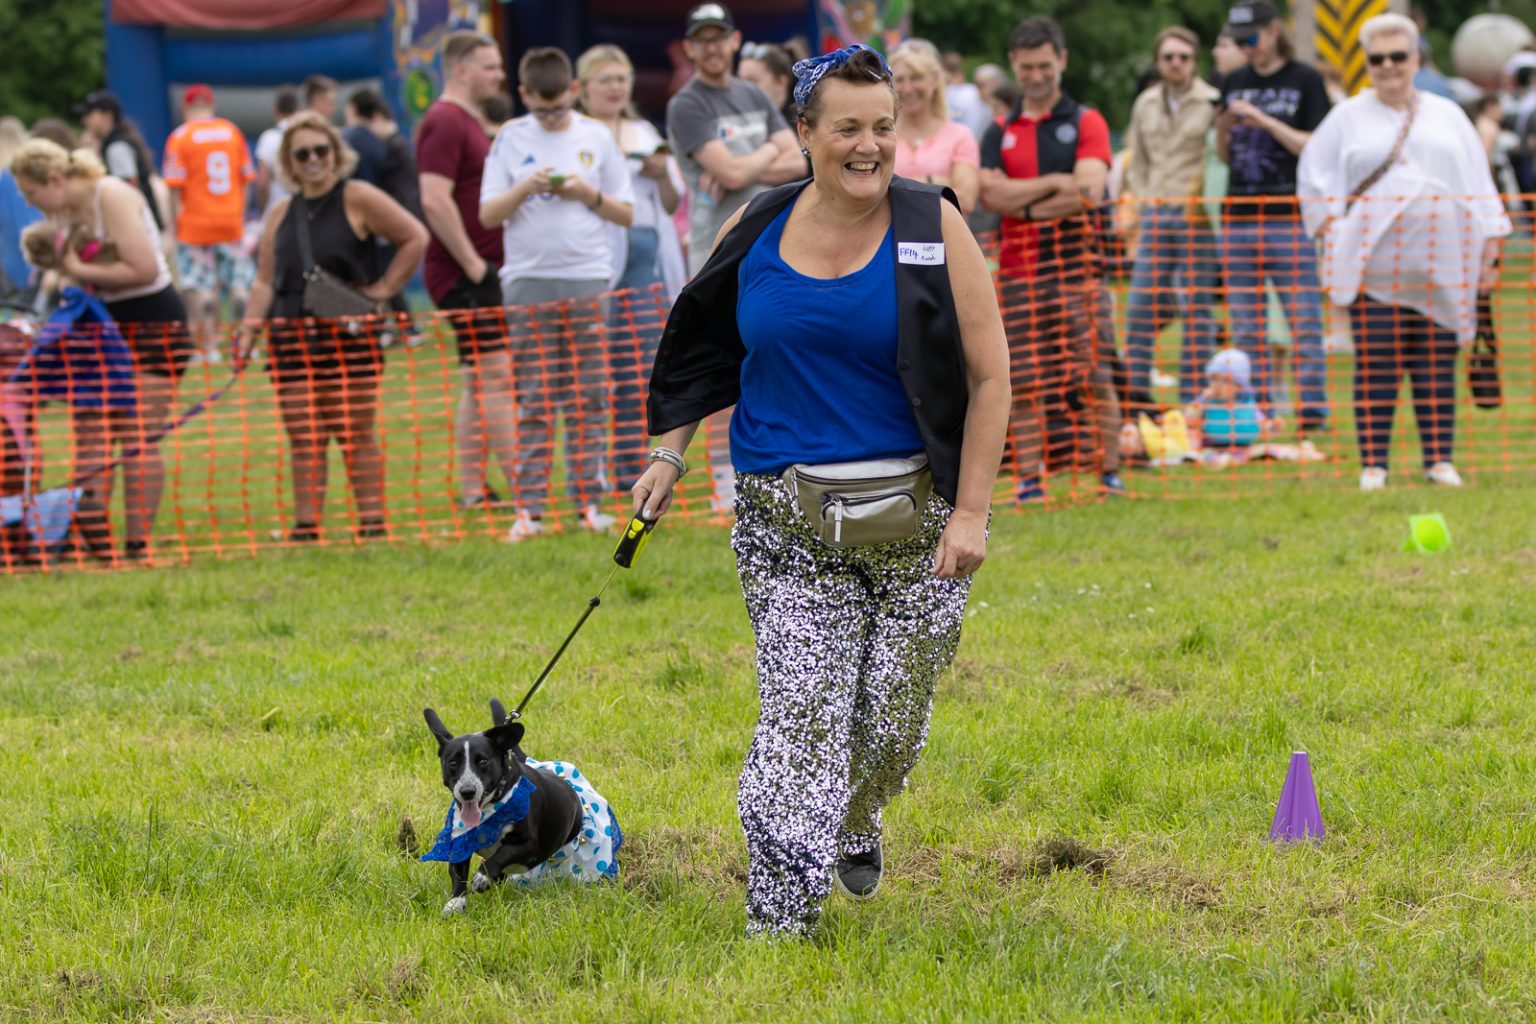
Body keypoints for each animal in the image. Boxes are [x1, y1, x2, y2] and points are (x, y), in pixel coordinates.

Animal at [423, 700, 620, 914]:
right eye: (452, 762)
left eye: (483, 761)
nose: (467, 791)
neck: (490, 808)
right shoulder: (460, 842)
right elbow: (458, 873)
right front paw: (455, 903)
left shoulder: (529, 845)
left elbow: (501, 855)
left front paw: (482, 877)